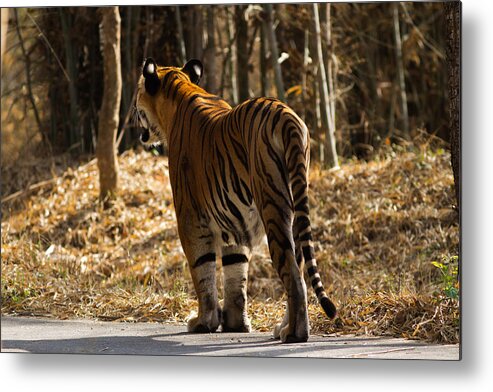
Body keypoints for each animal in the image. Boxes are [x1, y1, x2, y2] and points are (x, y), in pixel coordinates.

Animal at [135, 58, 334, 344]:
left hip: (272, 205)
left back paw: (295, 334)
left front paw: (203, 321)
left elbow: (202, 269)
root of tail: (286, 115)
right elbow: (235, 273)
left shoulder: (190, 217)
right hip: (295, 204)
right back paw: (284, 328)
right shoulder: (234, 222)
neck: (179, 91)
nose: (133, 113)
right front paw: (234, 323)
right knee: (299, 269)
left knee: (293, 274)